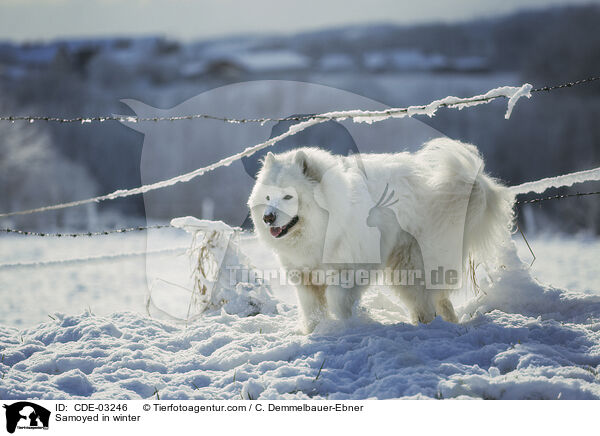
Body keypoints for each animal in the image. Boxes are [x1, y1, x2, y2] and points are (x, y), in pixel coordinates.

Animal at [248, 140, 516, 334]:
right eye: (269, 196)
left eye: (288, 196)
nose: (268, 217)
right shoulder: (305, 279)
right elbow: (312, 309)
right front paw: (315, 332)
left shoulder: (351, 270)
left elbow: (336, 297)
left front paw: (346, 325)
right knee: (438, 300)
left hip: (411, 264)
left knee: (426, 299)